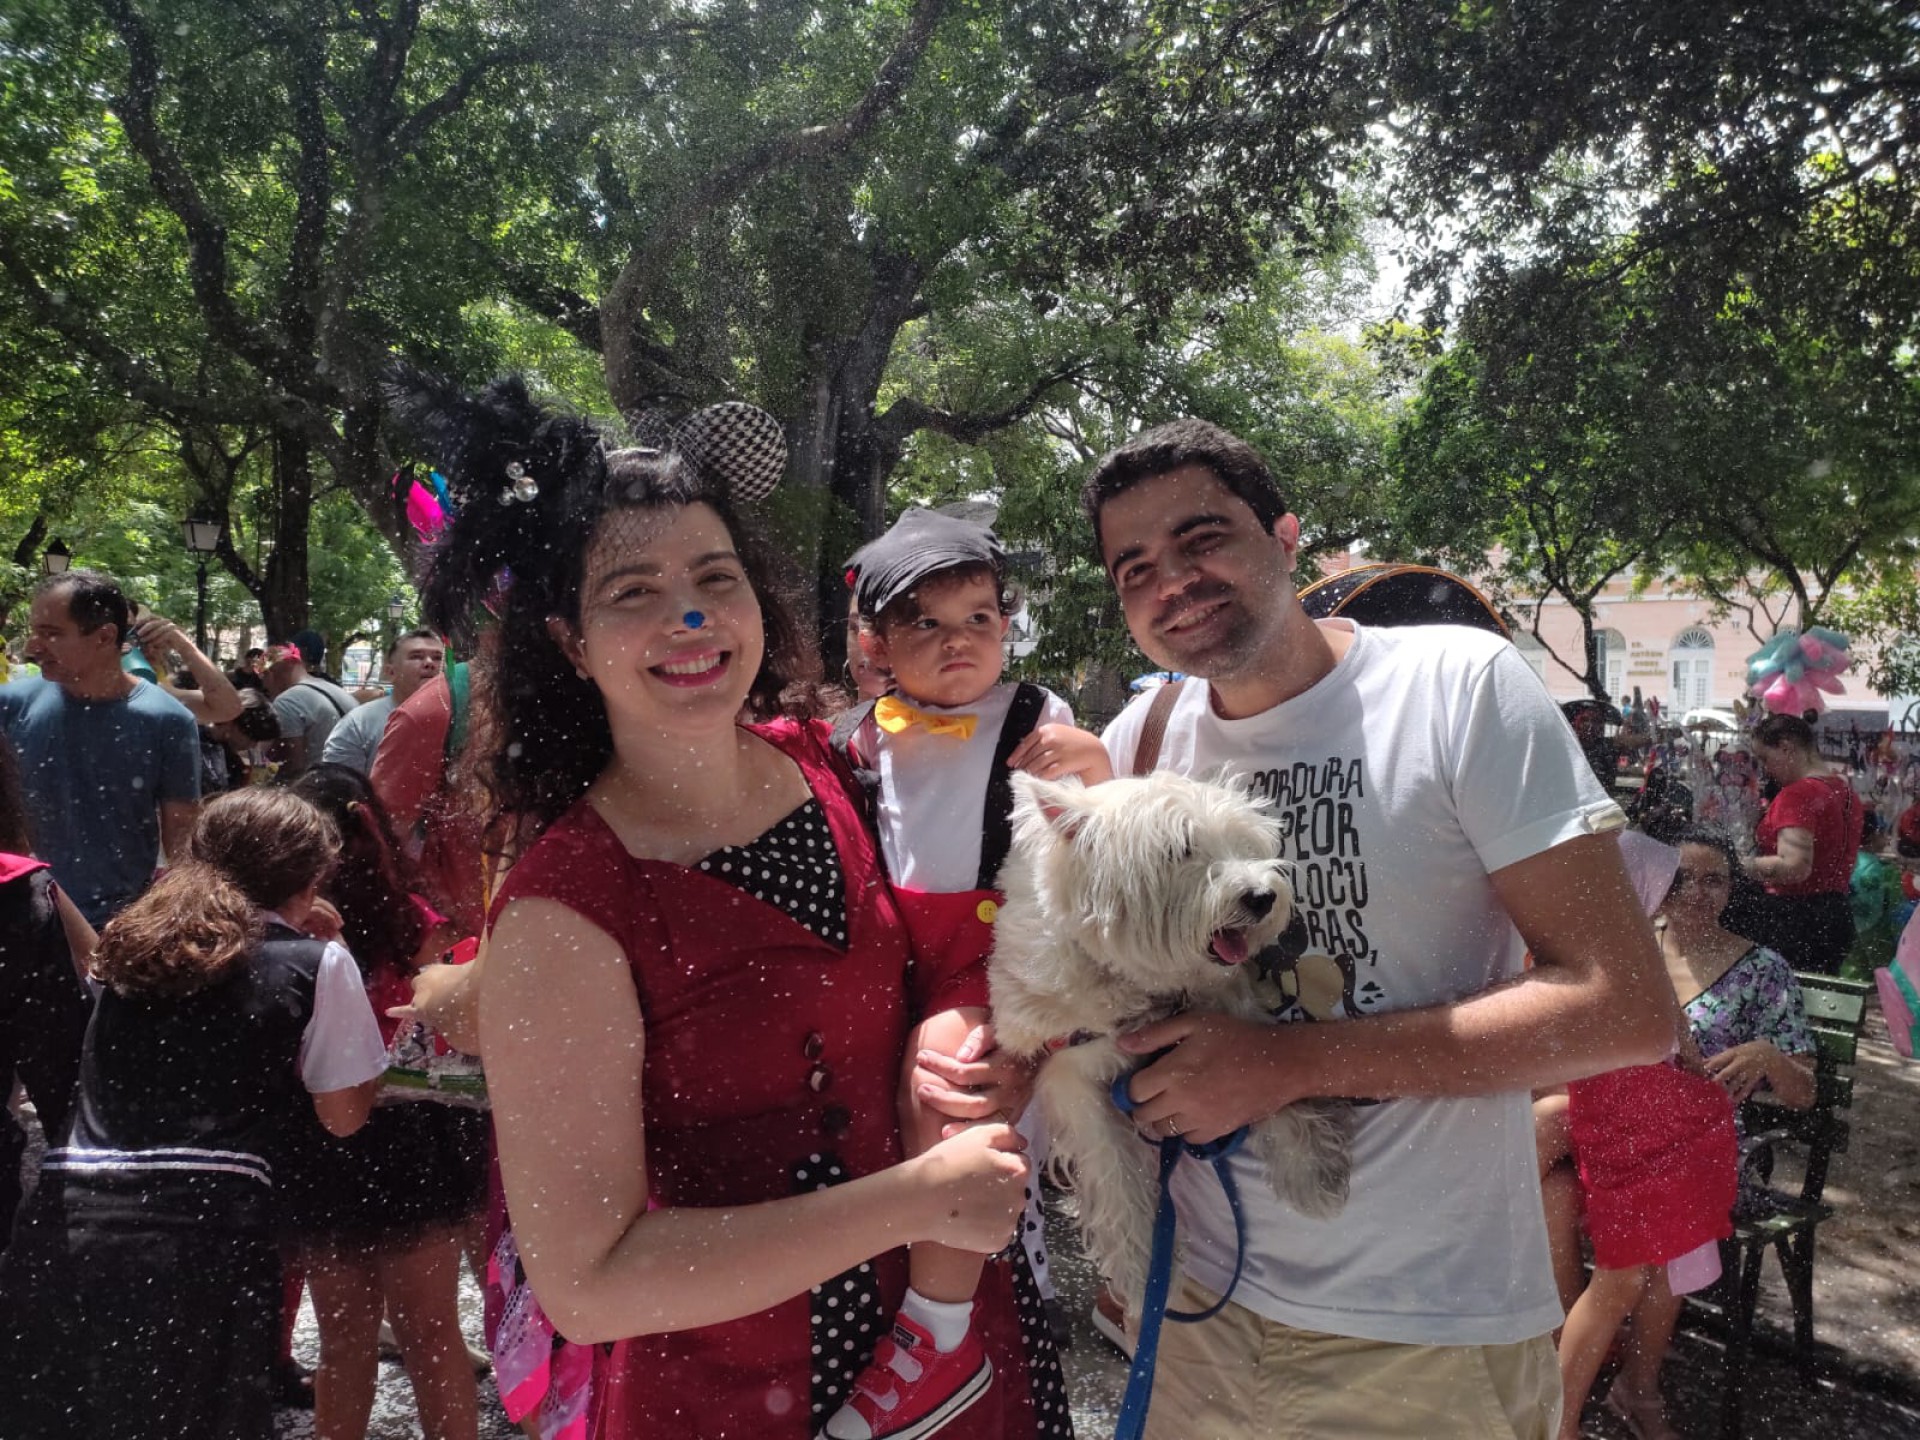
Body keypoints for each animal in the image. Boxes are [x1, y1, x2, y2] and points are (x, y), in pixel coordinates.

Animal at [990, 779, 1351, 1305]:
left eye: (1244, 843)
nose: (1263, 897)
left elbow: (1265, 1077)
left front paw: (1314, 1175)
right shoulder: (1073, 1076)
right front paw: (1145, 1277)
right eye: (1179, 849)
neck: (1137, 988)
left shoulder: (1225, 1005)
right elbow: (1117, 1173)